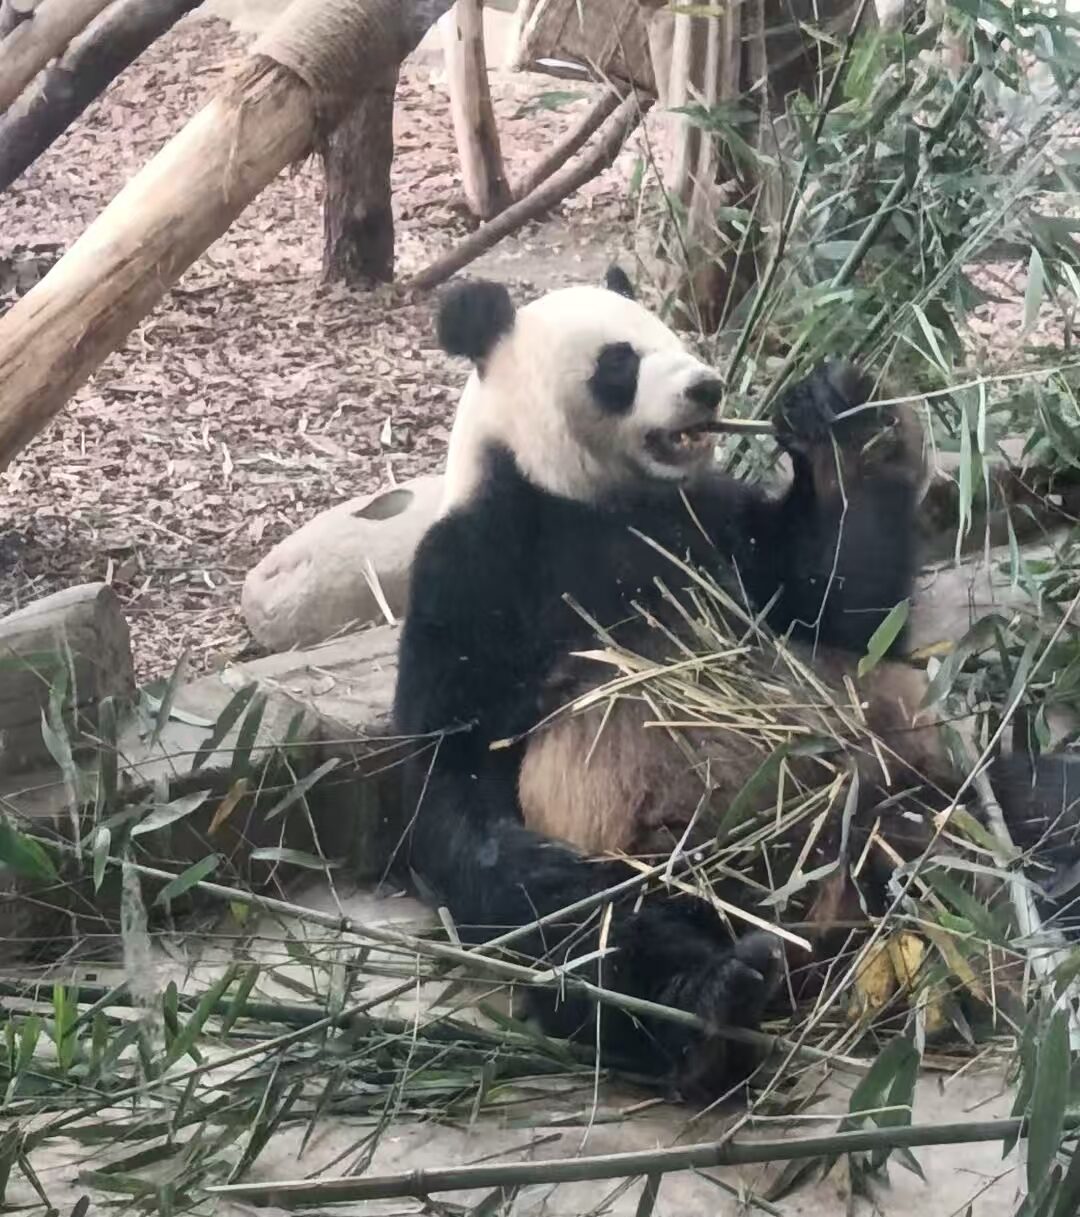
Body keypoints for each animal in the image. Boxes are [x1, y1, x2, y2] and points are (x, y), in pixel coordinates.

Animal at [393, 269, 1076, 1100]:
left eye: (674, 334)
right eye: (619, 361)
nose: (706, 388)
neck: (587, 495)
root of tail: (831, 916)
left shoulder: (708, 518)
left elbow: (837, 606)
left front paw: (845, 423)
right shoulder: (474, 567)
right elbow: (454, 773)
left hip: (923, 790)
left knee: (1038, 802)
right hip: (677, 869)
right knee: (595, 938)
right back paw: (711, 1010)